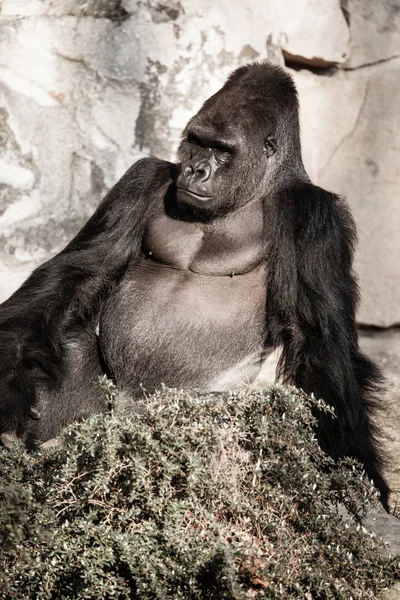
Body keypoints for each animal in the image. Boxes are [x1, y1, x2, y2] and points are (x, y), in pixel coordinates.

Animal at [0, 62, 390, 506]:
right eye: (196, 141)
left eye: (222, 150)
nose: (194, 170)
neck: (258, 189)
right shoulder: (142, 179)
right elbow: (77, 274)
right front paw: (10, 389)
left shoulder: (315, 217)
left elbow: (320, 345)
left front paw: (359, 473)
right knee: (66, 340)